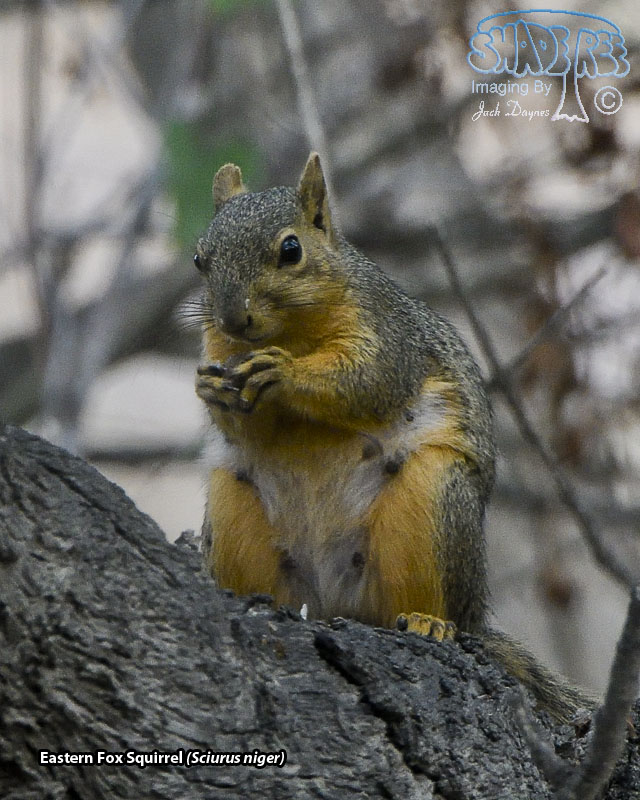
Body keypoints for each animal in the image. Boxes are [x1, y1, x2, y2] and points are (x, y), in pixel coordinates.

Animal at [194, 152, 594, 723]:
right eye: (199, 259)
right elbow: (246, 424)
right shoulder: (220, 348)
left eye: (291, 250)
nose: (232, 318)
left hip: (433, 500)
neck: (289, 333)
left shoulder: (389, 335)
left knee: (427, 605)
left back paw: (431, 622)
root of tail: (333, 600)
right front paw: (210, 389)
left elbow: (369, 381)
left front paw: (285, 373)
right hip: (232, 512)